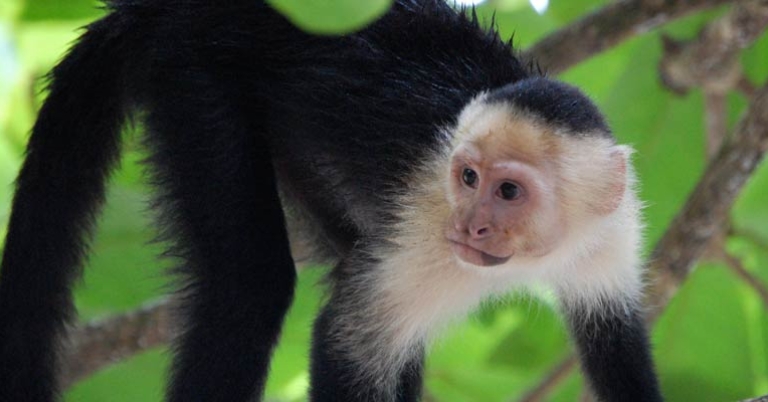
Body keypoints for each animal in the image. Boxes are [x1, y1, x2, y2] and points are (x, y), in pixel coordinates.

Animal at [0, 0, 663, 401]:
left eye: (508, 191)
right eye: (468, 178)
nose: (471, 227)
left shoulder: (612, 236)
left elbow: (617, 344)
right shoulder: (427, 230)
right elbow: (348, 343)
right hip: (194, 78)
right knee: (250, 287)